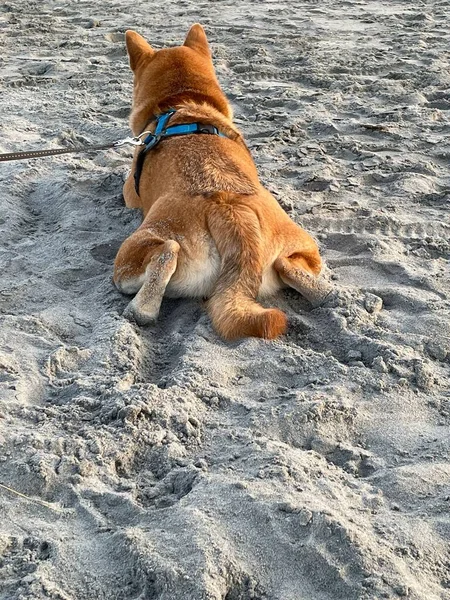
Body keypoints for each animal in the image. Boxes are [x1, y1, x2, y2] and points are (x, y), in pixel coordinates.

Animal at [112, 23, 330, 340]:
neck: (183, 103)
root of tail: (228, 208)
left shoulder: (131, 191)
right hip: (305, 247)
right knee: (300, 274)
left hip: (130, 256)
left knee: (165, 256)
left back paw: (141, 308)